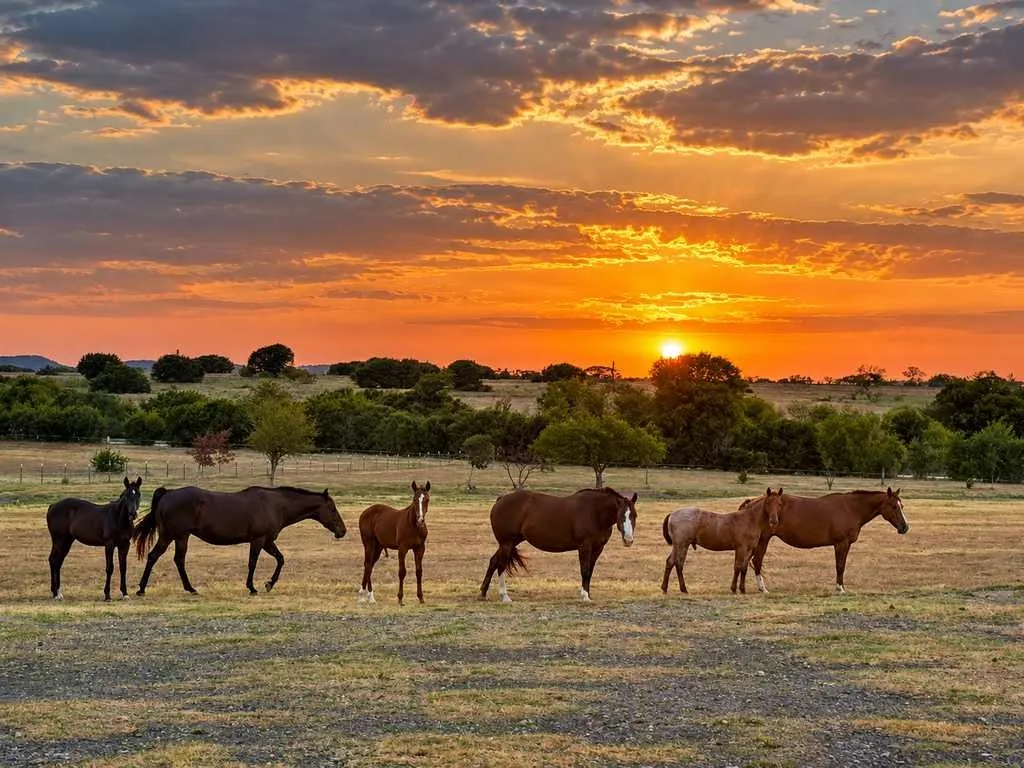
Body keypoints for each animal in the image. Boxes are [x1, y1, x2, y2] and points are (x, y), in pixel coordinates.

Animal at [133, 485, 347, 596]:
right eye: (332, 508)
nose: (342, 531)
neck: (276, 505)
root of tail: (168, 493)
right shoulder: (259, 540)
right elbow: (252, 563)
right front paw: (253, 587)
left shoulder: (268, 541)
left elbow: (281, 559)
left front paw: (269, 584)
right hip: (176, 536)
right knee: (166, 558)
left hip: (174, 536)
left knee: (163, 558)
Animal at [479, 487, 638, 603]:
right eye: (621, 515)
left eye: (634, 515)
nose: (628, 540)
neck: (594, 512)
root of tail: (501, 499)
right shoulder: (585, 546)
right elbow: (585, 570)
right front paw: (584, 596)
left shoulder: (598, 548)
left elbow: (590, 571)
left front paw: (588, 594)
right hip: (507, 542)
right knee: (501, 565)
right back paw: (505, 597)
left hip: (511, 542)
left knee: (493, 562)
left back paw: (483, 593)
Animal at [746, 487, 909, 594]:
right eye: (894, 506)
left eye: (902, 505)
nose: (905, 527)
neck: (851, 509)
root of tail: (754, 502)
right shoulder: (841, 543)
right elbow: (840, 566)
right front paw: (840, 589)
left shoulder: (845, 544)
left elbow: (842, 566)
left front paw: (842, 587)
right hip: (763, 540)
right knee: (757, 561)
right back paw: (763, 588)